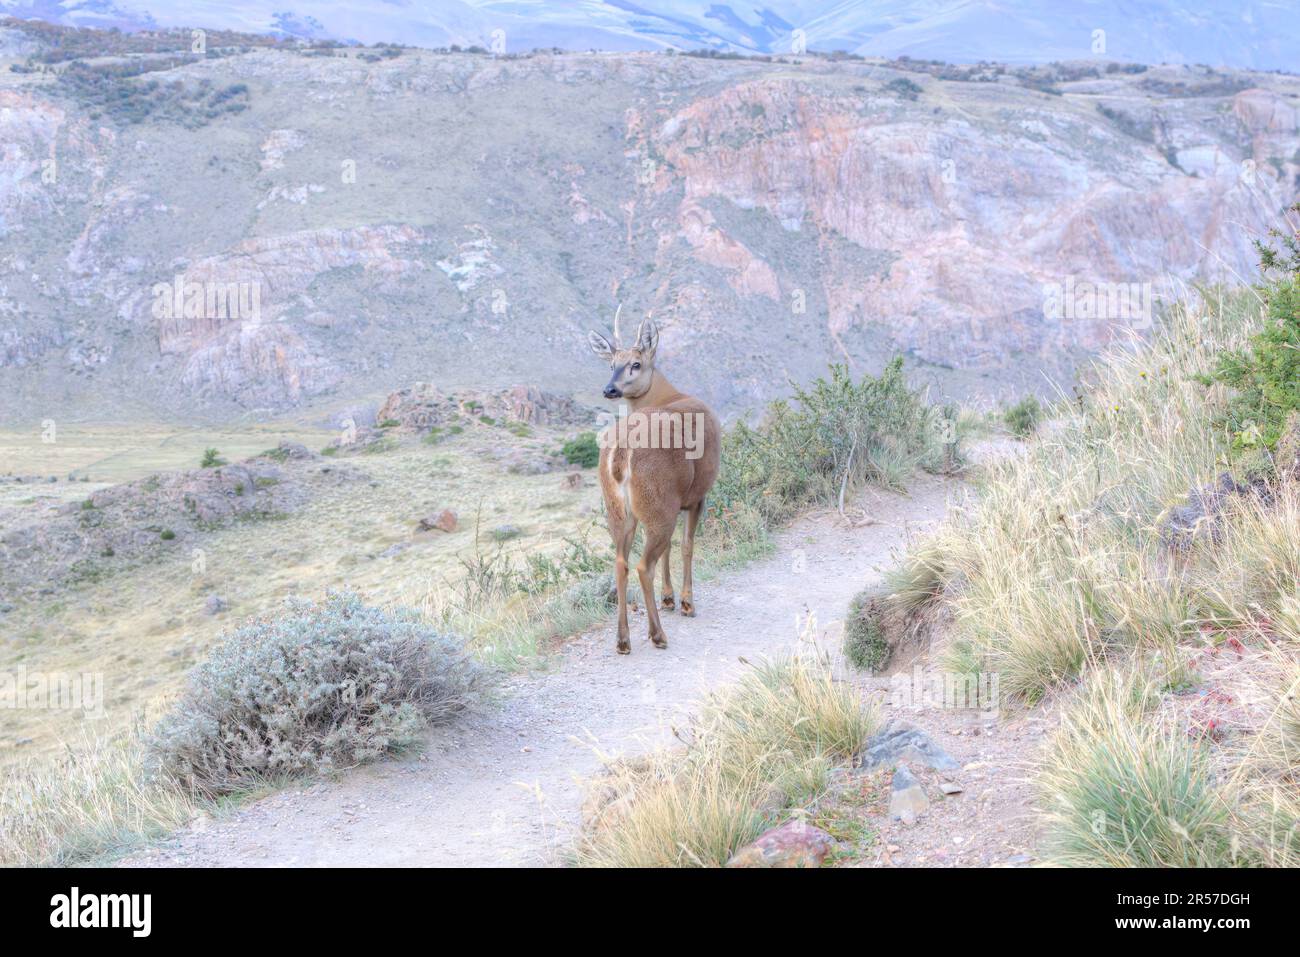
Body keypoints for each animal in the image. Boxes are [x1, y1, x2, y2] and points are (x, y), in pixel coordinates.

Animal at [587, 310, 722, 655]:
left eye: (634, 363)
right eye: (611, 363)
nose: (609, 389)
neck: (668, 394)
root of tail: (621, 451)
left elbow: (671, 549)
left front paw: (669, 597)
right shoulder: (697, 494)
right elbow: (687, 545)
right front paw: (685, 601)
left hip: (620, 510)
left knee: (621, 562)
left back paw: (623, 640)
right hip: (657, 502)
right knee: (642, 565)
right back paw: (657, 634)